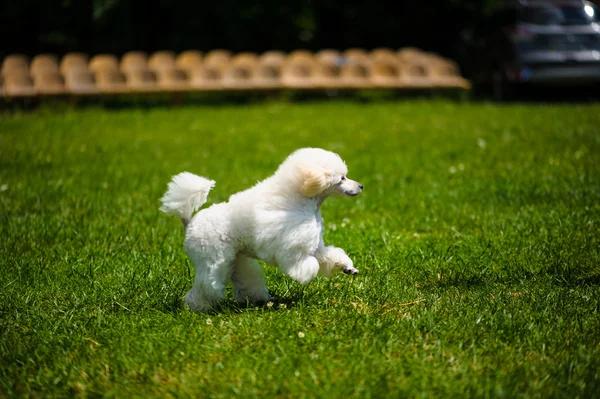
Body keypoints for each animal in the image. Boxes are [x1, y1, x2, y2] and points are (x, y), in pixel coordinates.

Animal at [159, 147, 364, 312]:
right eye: (342, 178)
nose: (361, 186)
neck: (302, 199)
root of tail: (189, 223)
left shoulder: (312, 244)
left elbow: (329, 255)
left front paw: (347, 268)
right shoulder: (292, 245)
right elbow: (303, 262)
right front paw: (307, 272)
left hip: (235, 259)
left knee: (244, 280)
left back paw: (256, 300)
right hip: (213, 259)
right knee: (206, 287)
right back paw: (198, 308)